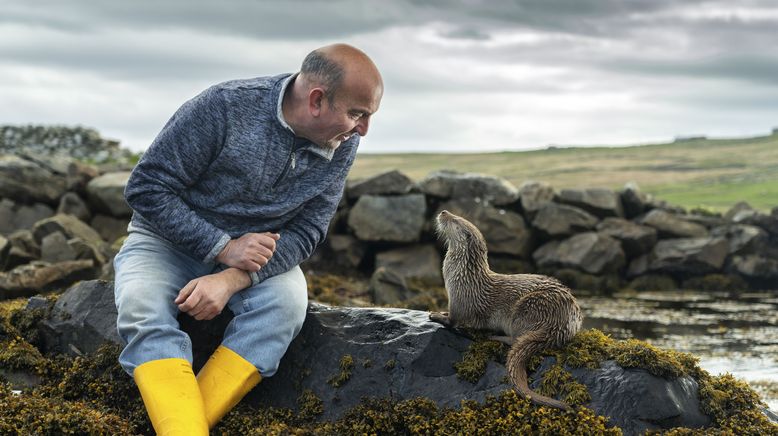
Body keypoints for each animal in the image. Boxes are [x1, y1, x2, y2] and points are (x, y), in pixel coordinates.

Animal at [430, 209, 584, 410]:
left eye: (456, 220)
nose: (443, 212)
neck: (463, 275)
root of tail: (561, 325)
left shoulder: (459, 300)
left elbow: (453, 320)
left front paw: (437, 315)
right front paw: (440, 312)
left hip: (527, 309)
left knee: (515, 338)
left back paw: (495, 336)